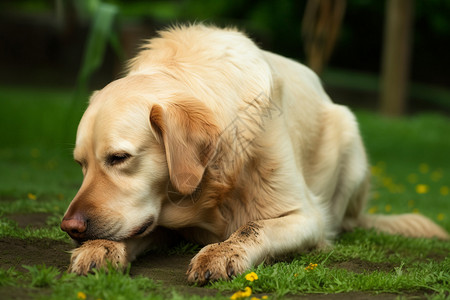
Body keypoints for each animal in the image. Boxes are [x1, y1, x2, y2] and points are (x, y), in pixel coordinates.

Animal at [60, 24, 450, 284]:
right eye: (81, 164)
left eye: (119, 158)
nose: (69, 227)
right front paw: (99, 248)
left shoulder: (306, 215)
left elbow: (253, 227)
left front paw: (221, 253)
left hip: (349, 137)